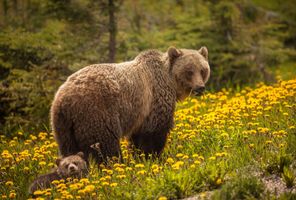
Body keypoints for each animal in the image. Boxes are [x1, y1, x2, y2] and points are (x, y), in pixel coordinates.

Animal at [51, 47, 210, 164]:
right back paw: (116, 165)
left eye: (203, 70)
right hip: (96, 112)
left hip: (64, 127)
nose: (200, 88)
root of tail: (63, 99)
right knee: (105, 145)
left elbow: (138, 138)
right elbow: (154, 133)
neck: (170, 82)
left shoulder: (141, 114)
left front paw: (139, 157)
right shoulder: (154, 101)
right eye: (189, 71)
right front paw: (153, 158)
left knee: (69, 150)